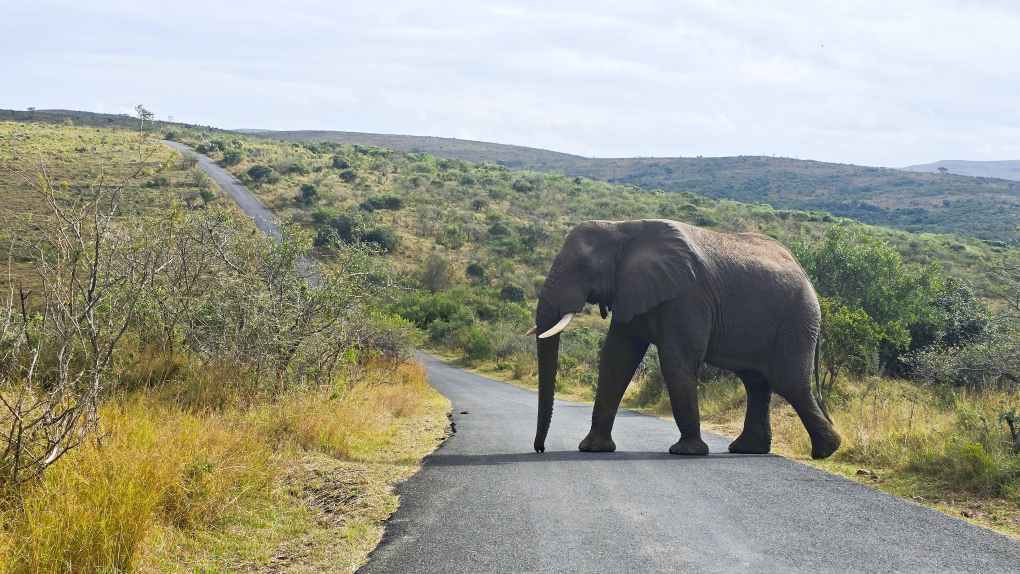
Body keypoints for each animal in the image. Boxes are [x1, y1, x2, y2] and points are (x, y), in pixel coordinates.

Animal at [528, 219, 841, 459]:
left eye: (581, 266)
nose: (540, 449)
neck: (622, 227)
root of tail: (806, 275)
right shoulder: (632, 290)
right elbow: (617, 359)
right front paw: (593, 449)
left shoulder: (687, 296)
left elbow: (677, 360)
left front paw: (686, 452)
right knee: (756, 382)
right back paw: (748, 450)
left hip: (798, 319)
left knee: (788, 382)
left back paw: (826, 451)